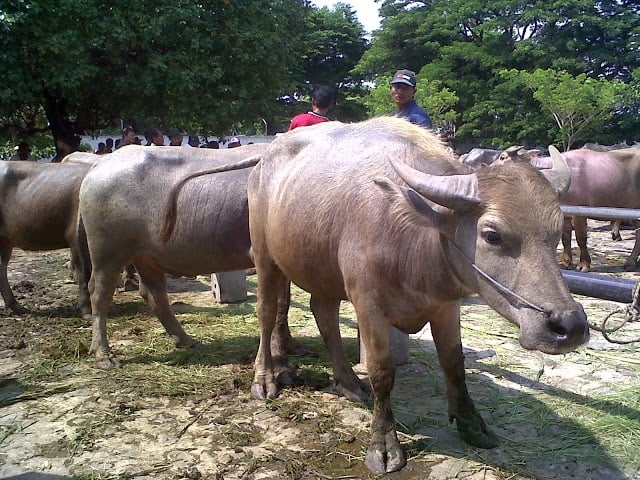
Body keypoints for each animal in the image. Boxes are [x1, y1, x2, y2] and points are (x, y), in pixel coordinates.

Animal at [78, 144, 296, 370]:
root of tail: (98, 165)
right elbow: (277, 304)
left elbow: (284, 303)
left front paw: (291, 345)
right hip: (108, 255)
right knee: (100, 296)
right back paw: (103, 355)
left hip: (146, 257)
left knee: (154, 295)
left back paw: (186, 341)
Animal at [245, 119, 592, 472]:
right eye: (492, 235)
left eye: (556, 231)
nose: (570, 326)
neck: (415, 238)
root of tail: (264, 161)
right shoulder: (368, 306)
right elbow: (382, 372)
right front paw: (384, 445)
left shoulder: (446, 307)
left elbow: (454, 362)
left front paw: (471, 423)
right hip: (265, 255)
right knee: (268, 311)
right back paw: (265, 379)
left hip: (323, 271)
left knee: (323, 313)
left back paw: (348, 382)